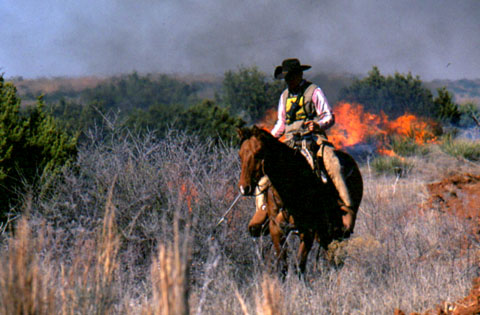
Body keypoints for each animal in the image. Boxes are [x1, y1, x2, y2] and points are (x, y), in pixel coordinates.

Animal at [236, 125, 364, 274]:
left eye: (258, 153)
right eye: (240, 155)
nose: (244, 188)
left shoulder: (308, 231)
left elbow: (299, 266)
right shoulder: (277, 229)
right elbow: (282, 266)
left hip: (339, 232)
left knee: (337, 259)